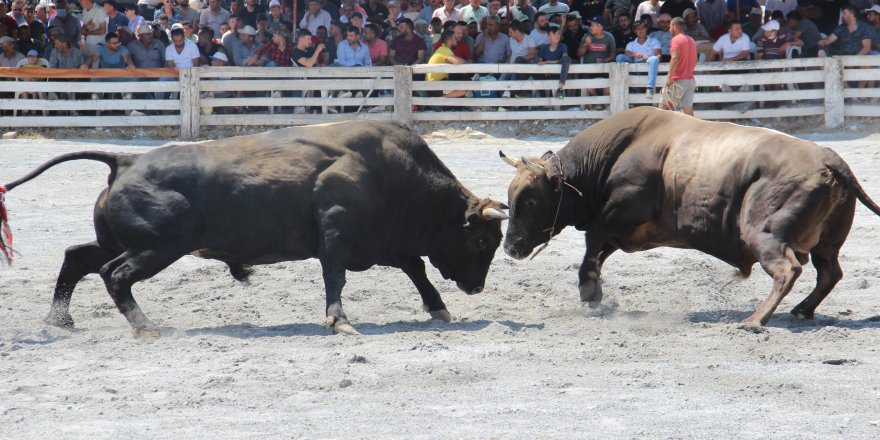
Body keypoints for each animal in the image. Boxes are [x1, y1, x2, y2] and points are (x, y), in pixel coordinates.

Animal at [0, 120, 508, 336]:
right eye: (482, 240)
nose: (476, 288)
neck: (391, 170)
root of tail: (124, 161)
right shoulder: (337, 232)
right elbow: (335, 275)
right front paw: (339, 320)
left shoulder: (387, 242)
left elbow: (417, 269)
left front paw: (438, 308)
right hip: (157, 248)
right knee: (114, 274)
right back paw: (145, 327)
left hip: (120, 241)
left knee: (77, 257)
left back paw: (59, 320)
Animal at [502, 107, 880, 326]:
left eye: (530, 202)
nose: (509, 248)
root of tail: (830, 157)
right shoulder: (625, 230)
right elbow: (597, 248)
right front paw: (592, 291)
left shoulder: (624, 209)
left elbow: (591, 241)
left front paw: (590, 292)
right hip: (827, 242)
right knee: (829, 272)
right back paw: (802, 310)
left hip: (764, 232)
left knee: (788, 269)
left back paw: (754, 320)